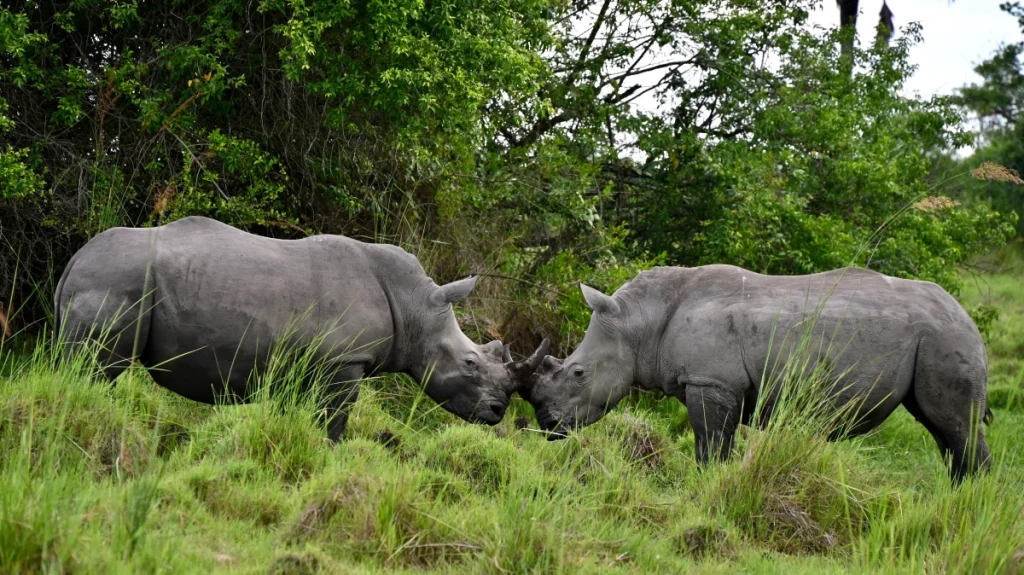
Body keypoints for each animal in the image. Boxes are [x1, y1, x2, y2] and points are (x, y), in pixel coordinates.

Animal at [55, 216, 547, 440]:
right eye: (470, 363)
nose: (497, 412)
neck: (415, 306)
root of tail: (73, 261)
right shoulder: (343, 361)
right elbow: (335, 420)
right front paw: (330, 453)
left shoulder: (306, 364)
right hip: (117, 280)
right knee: (98, 370)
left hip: (109, 278)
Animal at [518, 264, 993, 482]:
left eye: (578, 373)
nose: (547, 424)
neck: (640, 323)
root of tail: (966, 315)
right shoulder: (717, 384)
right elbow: (718, 446)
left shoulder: (710, 381)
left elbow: (709, 446)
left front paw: (705, 487)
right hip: (936, 335)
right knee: (941, 429)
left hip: (944, 336)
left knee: (956, 426)